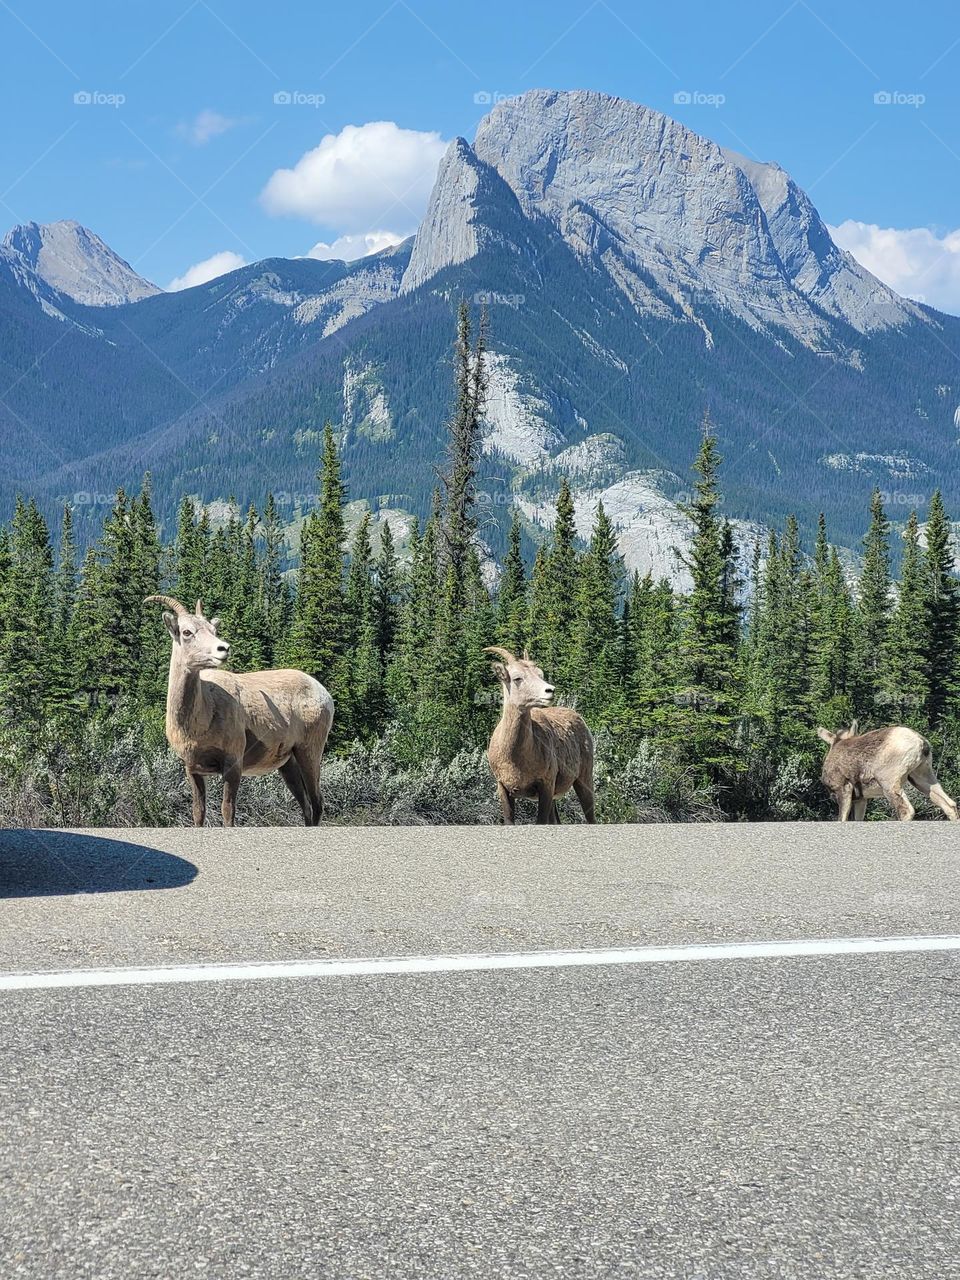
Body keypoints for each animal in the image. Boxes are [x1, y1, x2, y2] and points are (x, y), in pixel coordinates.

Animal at [145, 596, 334, 827]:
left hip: (309, 752)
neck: (201, 721)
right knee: (306, 806)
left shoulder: (233, 764)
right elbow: (198, 812)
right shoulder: (193, 769)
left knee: (317, 803)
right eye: (186, 632)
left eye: (213, 629)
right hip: (288, 764)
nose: (223, 648)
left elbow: (228, 812)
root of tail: (324, 694)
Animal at [485, 646, 596, 825]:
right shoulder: (503, 788)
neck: (515, 759)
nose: (550, 690)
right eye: (517, 678)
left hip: (584, 779)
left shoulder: (546, 786)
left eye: (540, 674)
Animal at [817, 721, 958, 822]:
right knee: (950, 805)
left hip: (889, 784)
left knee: (906, 811)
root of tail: (921, 742)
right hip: (921, 778)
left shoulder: (843, 789)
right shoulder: (860, 799)